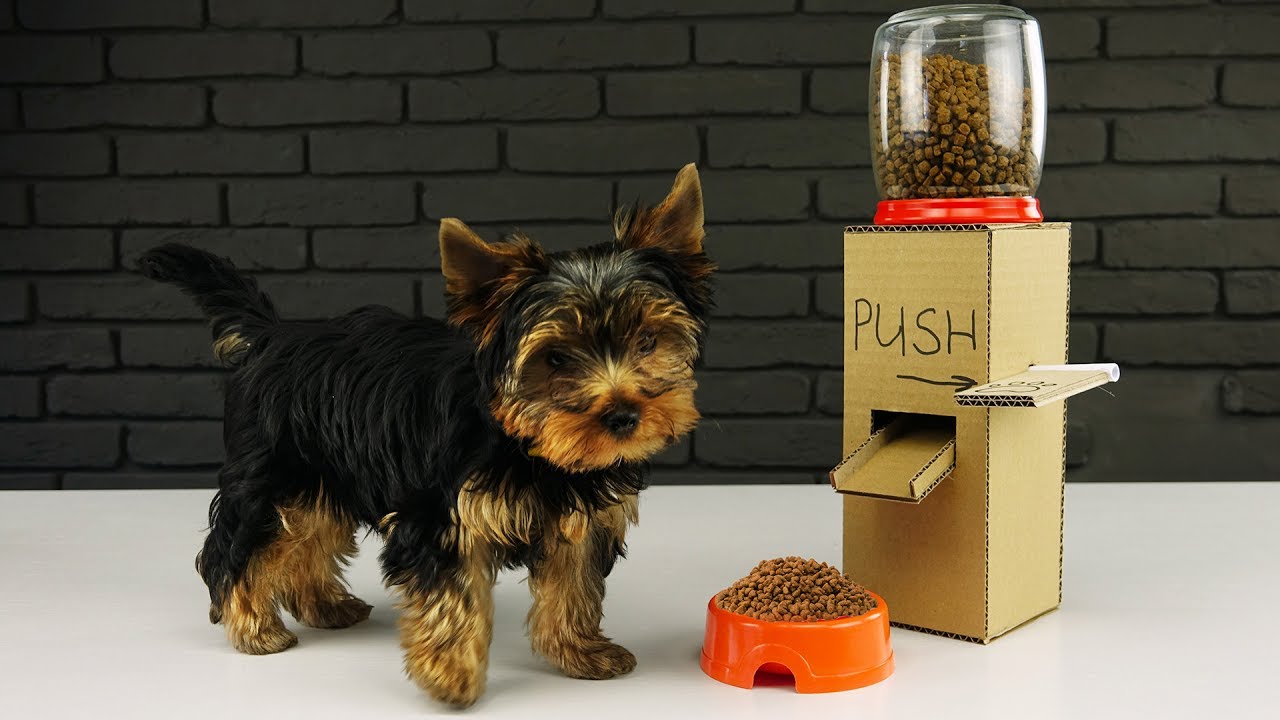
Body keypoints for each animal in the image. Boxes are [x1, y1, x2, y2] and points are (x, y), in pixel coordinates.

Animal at [142, 163, 721, 707]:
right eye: (555, 358)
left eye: (647, 341)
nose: (623, 416)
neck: (526, 442)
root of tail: (270, 336)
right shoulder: (441, 516)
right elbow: (452, 597)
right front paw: (453, 678)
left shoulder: (579, 514)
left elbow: (573, 583)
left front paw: (580, 651)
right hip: (272, 471)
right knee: (238, 545)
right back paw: (254, 627)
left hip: (327, 471)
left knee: (310, 531)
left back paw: (324, 606)